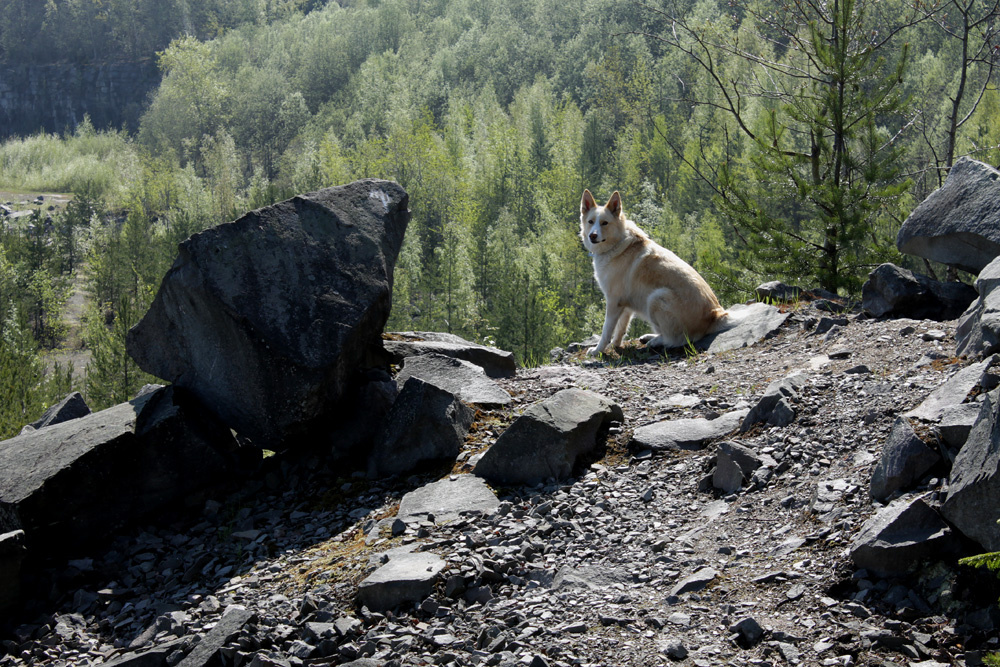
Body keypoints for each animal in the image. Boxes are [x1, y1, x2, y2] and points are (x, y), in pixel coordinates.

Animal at [580, 189, 729, 356]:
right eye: (590, 222)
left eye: (604, 223)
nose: (592, 235)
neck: (616, 245)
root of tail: (715, 315)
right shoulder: (625, 304)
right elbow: (621, 329)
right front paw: (615, 345)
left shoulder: (613, 301)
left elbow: (606, 330)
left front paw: (597, 350)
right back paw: (650, 337)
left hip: (656, 298)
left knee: (676, 339)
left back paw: (655, 341)